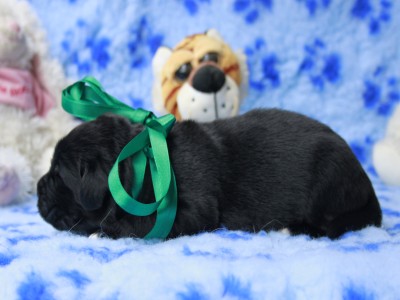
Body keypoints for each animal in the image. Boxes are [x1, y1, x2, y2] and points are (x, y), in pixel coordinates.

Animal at [36, 109, 382, 239]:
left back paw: (294, 228)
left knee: (330, 224)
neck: (144, 159)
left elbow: (139, 223)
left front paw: (104, 230)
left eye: (58, 174)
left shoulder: (192, 209)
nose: (38, 187)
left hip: (328, 175)